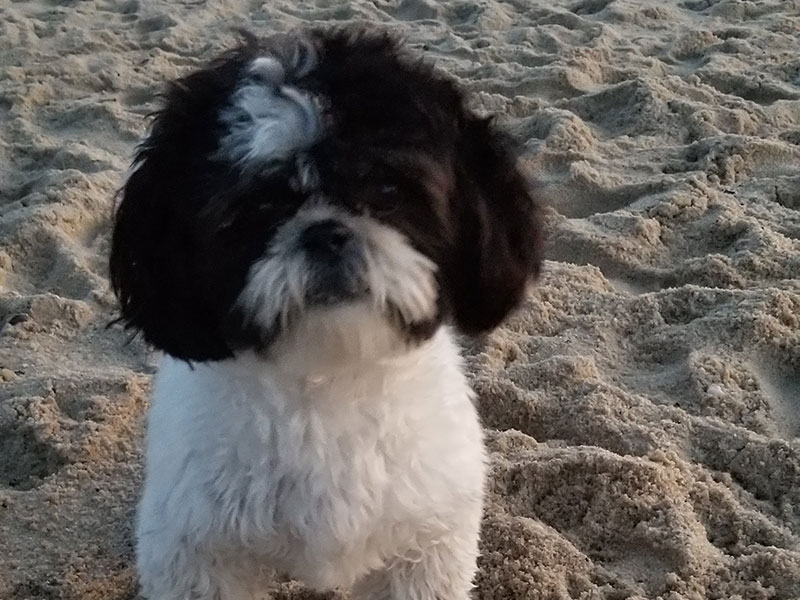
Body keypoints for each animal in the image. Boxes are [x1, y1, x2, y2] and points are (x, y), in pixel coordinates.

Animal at [109, 25, 540, 596]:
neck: (328, 381)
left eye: (387, 188)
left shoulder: (425, 544)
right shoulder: (200, 552)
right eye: (257, 207)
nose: (326, 232)